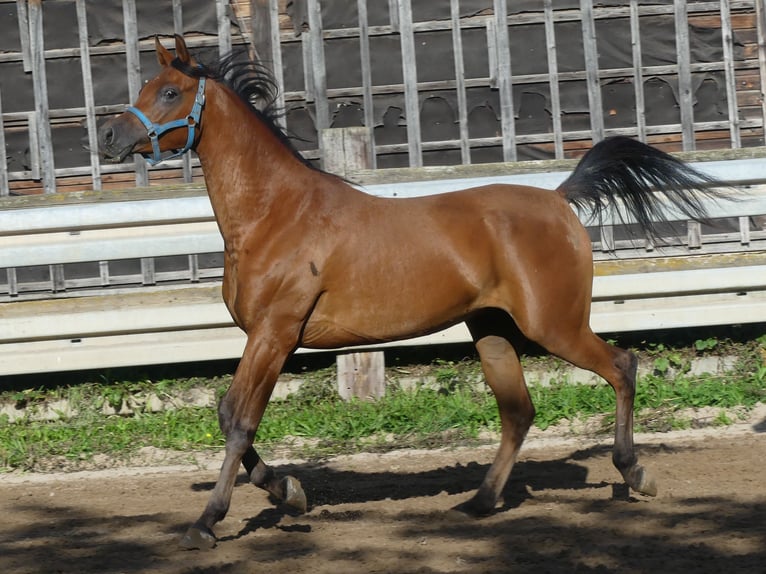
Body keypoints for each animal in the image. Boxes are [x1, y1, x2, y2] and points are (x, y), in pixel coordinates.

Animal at [98, 35, 725, 550]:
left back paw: (634, 472)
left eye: (170, 91)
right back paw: (478, 503)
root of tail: (559, 197)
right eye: (145, 87)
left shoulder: (275, 334)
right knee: (518, 411)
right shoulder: (264, 337)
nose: (109, 136)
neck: (276, 214)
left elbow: (237, 420)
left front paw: (208, 522)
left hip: (555, 325)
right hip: (492, 329)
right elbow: (231, 416)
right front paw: (290, 493)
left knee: (621, 365)